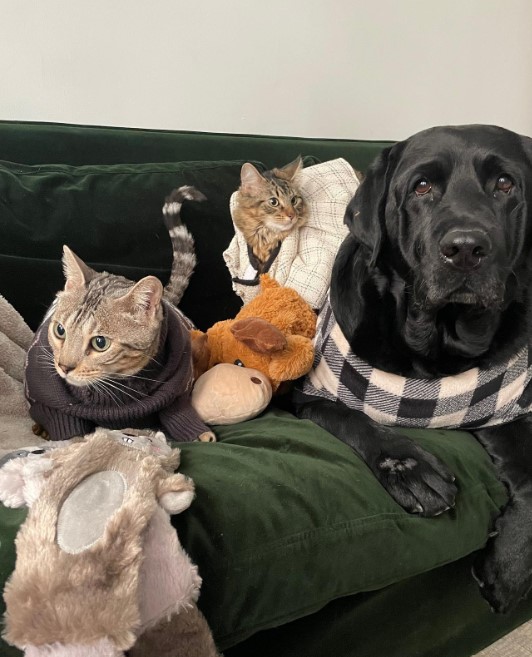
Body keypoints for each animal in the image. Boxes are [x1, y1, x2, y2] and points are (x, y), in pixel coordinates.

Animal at [22, 184, 214, 440]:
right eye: (60, 330)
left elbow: (179, 414)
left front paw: (199, 433)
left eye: (100, 343)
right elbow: (67, 430)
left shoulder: (177, 391)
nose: (64, 367)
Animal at [294, 125, 532, 612]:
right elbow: (352, 419)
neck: (439, 344)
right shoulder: (312, 393)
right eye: (422, 187)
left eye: (505, 184)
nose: (465, 249)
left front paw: (511, 567)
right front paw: (410, 468)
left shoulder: (512, 406)